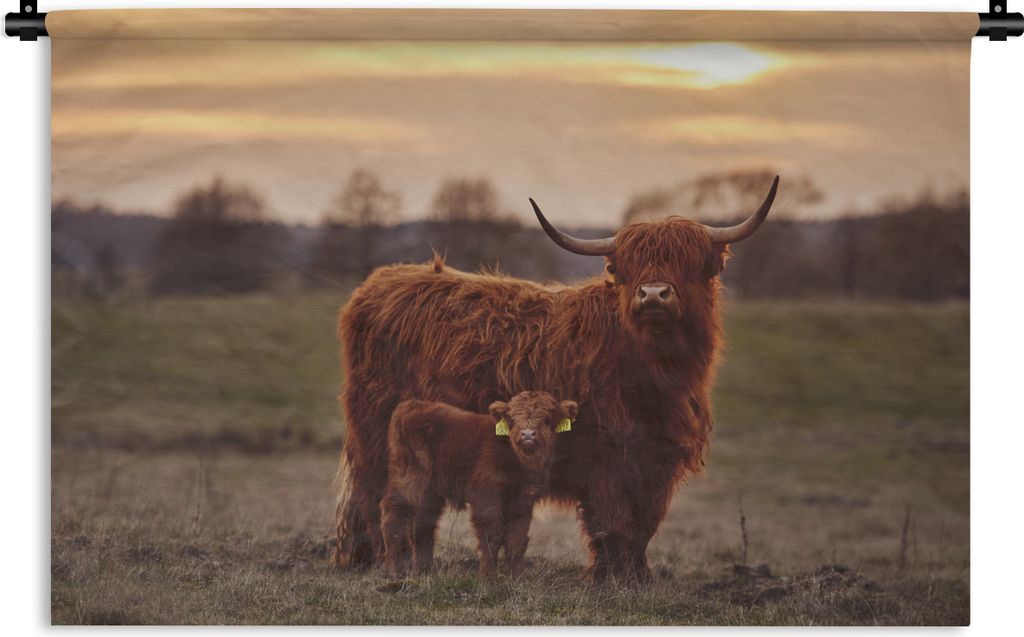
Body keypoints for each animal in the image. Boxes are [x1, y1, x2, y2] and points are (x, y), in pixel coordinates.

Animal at [380, 392, 577, 577]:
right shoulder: (486, 495)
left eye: (547, 419)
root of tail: (410, 406)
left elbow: (517, 539)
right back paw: (394, 571)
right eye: (513, 420)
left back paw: (423, 570)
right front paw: (489, 576)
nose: (527, 434)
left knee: (422, 524)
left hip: (430, 491)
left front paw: (517, 576)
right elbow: (492, 535)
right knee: (394, 516)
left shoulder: (523, 501)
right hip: (410, 479)